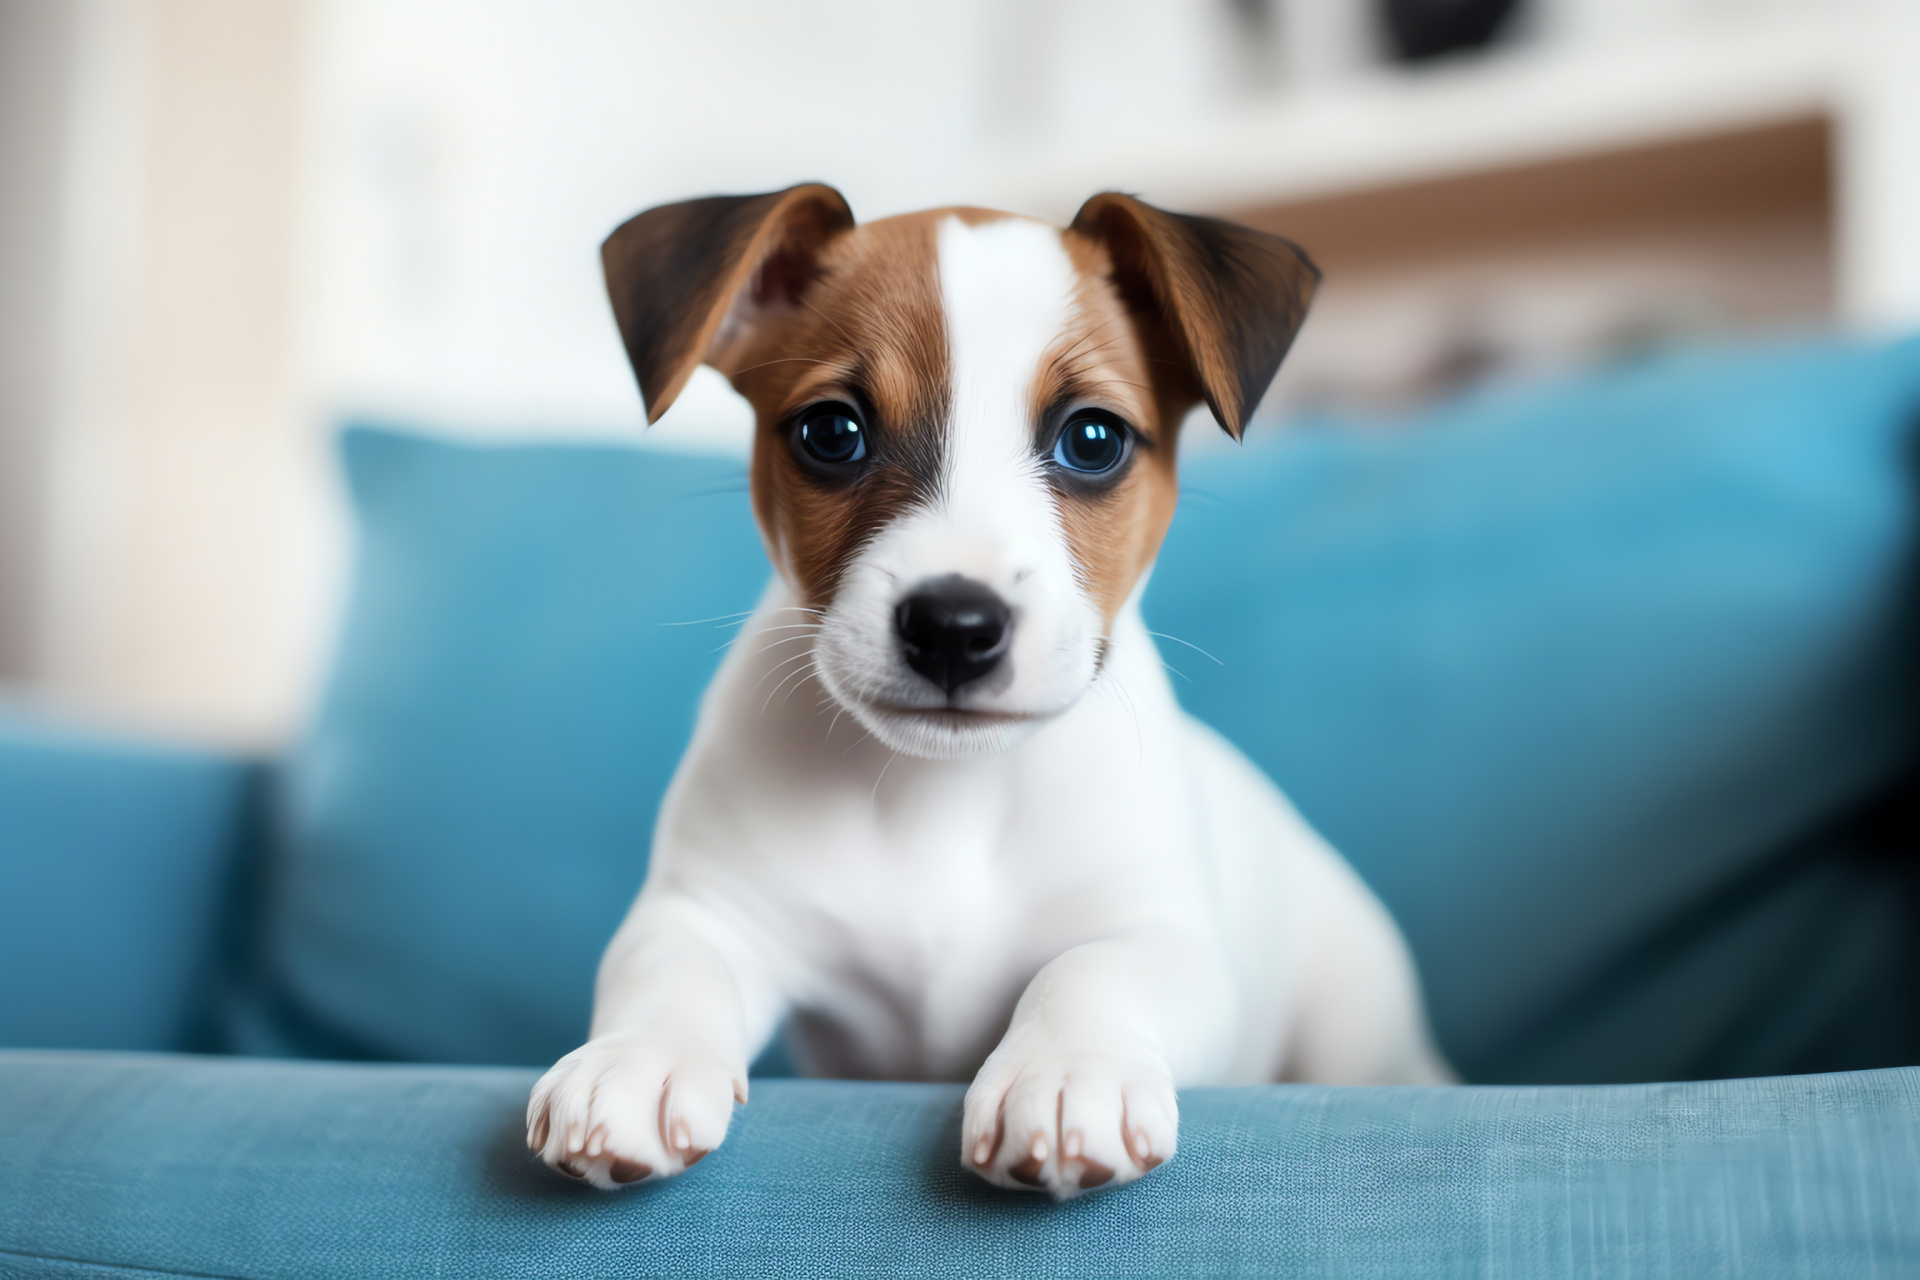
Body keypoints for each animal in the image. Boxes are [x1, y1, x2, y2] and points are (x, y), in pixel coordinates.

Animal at [526, 182, 1451, 1205]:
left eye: (1093, 438)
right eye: (832, 433)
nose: (953, 627)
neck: (943, 794)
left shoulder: (1164, 940)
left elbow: (1090, 971)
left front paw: (1065, 1072)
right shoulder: (706, 912)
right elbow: (673, 972)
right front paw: (634, 1058)